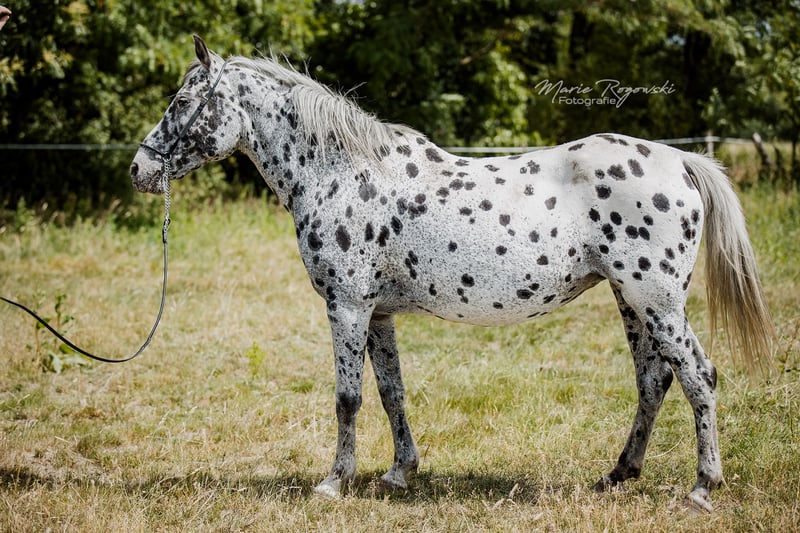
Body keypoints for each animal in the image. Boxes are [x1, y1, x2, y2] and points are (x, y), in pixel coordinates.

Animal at [130, 36, 774, 511]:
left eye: (182, 101)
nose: (140, 168)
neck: (342, 172)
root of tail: (680, 159)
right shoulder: (377, 313)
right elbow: (390, 392)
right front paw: (398, 473)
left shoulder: (347, 306)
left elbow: (347, 397)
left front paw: (335, 482)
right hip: (631, 300)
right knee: (654, 381)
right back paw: (618, 474)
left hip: (656, 300)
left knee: (698, 377)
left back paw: (701, 488)